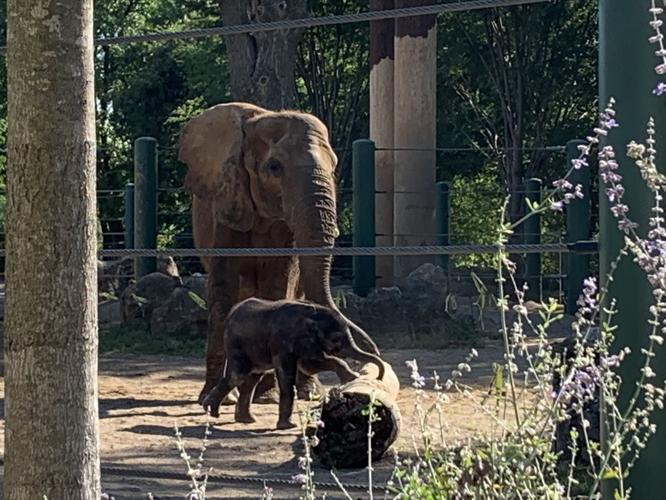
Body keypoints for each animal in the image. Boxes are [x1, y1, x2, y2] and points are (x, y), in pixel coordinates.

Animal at [178, 102, 381, 405]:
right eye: (274, 167)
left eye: (333, 166)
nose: (374, 358)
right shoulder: (225, 201)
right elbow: (224, 287)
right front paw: (219, 398)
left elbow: (278, 281)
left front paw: (269, 396)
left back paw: (307, 391)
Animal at [201, 298, 385, 429]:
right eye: (336, 339)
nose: (379, 376)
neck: (314, 313)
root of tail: (232, 313)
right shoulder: (283, 341)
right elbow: (291, 371)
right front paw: (288, 426)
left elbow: (309, 364)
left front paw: (352, 377)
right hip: (235, 343)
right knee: (238, 375)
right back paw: (211, 412)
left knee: (252, 377)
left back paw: (245, 419)